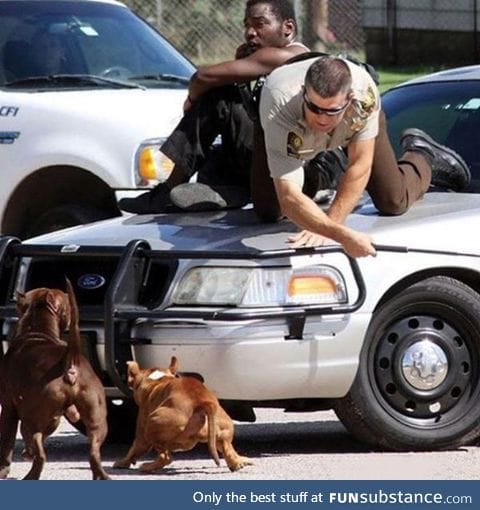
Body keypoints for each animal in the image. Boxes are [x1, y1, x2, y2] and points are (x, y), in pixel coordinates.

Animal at [0, 280, 109, 480]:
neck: (37, 331)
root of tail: (69, 360)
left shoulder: (9, 408)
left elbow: (7, 442)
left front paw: (4, 469)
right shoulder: (56, 417)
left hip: (33, 418)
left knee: (39, 451)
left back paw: (31, 474)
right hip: (97, 419)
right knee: (94, 452)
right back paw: (102, 475)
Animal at [115, 356, 253, 472]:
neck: (157, 380)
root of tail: (203, 403)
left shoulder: (141, 435)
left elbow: (134, 449)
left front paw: (122, 462)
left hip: (152, 424)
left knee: (165, 456)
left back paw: (149, 466)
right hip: (223, 430)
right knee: (227, 448)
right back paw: (238, 462)